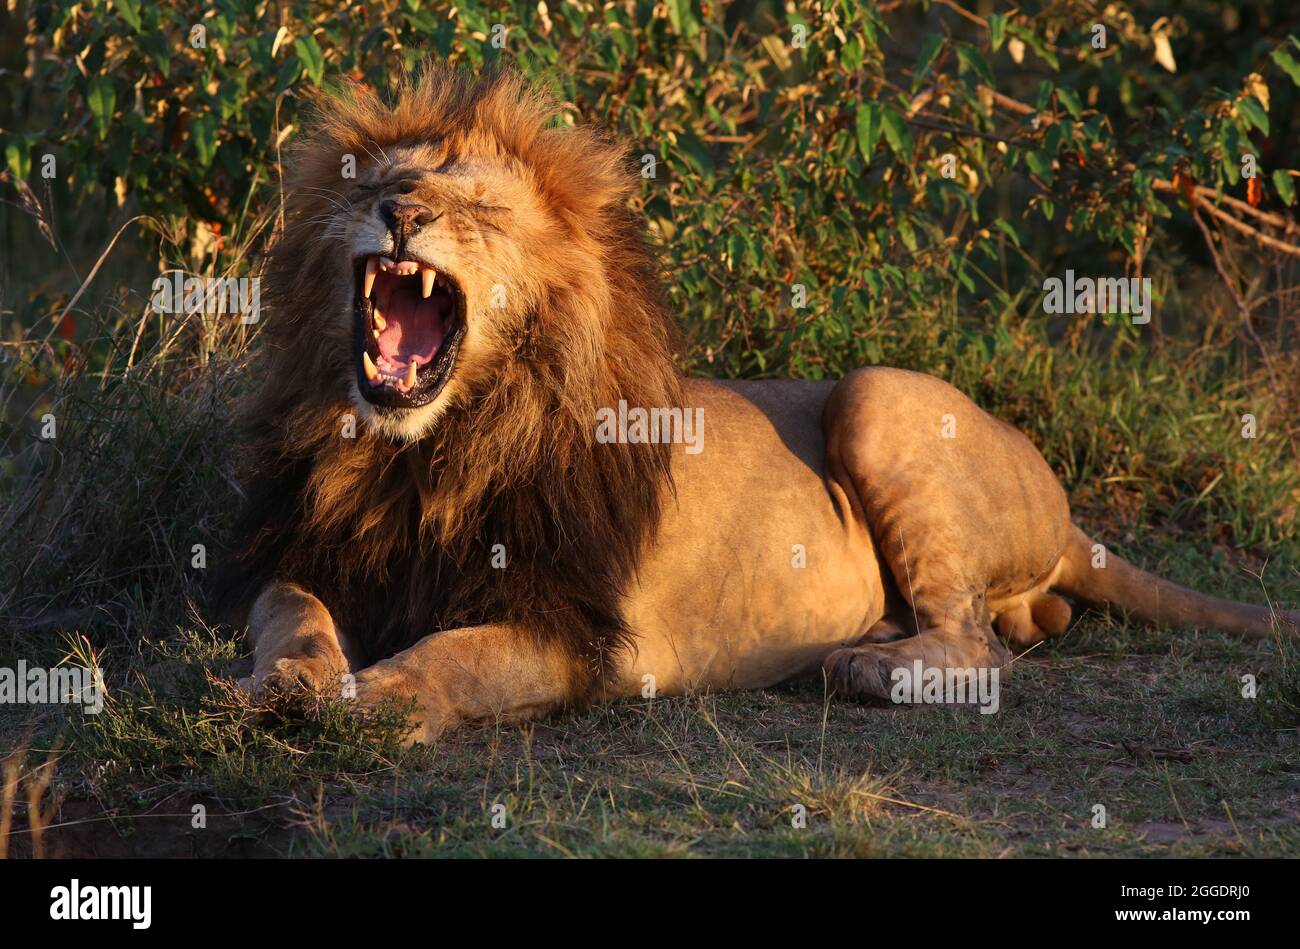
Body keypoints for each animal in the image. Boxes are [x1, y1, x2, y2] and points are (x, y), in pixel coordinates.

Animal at [213, 68, 1289, 748]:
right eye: (389, 183)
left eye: (478, 211)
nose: (400, 214)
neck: (427, 451)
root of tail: (1067, 519)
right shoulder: (304, 554)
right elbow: (293, 614)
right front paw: (290, 686)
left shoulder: (574, 630)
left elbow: (457, 658)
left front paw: (375, 698)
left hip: (878, 396)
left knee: (979, 650)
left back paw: (869, 663)